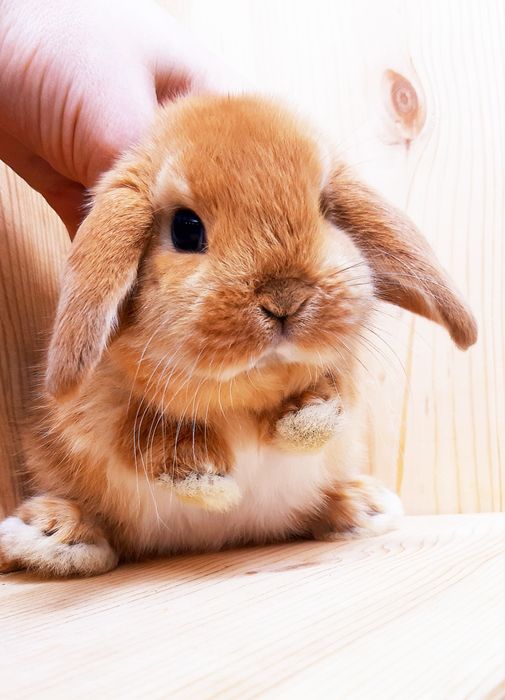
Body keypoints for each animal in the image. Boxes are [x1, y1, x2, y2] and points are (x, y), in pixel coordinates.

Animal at [0, 94, 477, 577]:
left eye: (326, 210)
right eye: (186, 228)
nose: (285, 298)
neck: (245, 390)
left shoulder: (337, 379)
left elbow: (330, 395)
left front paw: (303, 424)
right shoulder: (102, 410)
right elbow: (144, 435)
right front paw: (213, 486)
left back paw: (363, 505)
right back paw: (53, 533)